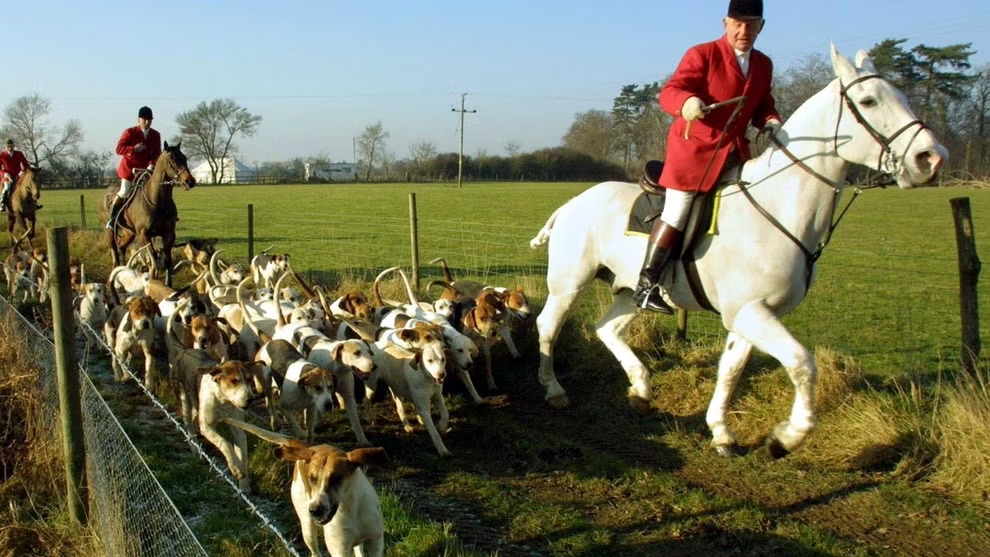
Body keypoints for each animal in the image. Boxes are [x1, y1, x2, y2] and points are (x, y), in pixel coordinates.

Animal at [100, 141, 196, 284]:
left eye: (184, 158)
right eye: (172, 160)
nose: (190, 181)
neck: (159, 201)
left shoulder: (169, 234)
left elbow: (167, 260)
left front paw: (168, 285)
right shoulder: (144, 234)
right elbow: (153, 259)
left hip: (129, 232)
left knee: (121, 247)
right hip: (110, 231)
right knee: (114, 251)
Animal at [532, 45, 948, 458]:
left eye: (904, 97)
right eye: (868, 100)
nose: (931, 158)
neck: (777, 206)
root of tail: (571, 203)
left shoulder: (753, 313)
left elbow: (731, 370)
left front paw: (721, 432)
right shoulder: (751, 312)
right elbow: (802, 364)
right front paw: (786, 438)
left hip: (626, 289)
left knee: (607, 328)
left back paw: (642, 388)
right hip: (569, 284)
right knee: (548, 326)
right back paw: (554, 391)